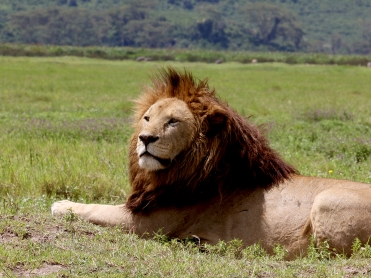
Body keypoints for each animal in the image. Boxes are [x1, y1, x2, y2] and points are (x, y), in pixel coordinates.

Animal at [51, 67, 371, 258]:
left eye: (172, 121)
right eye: (147, 118)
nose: (145, 138)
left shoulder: (147, 223)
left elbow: (94, 208)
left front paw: (60, 204)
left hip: (326, 203)